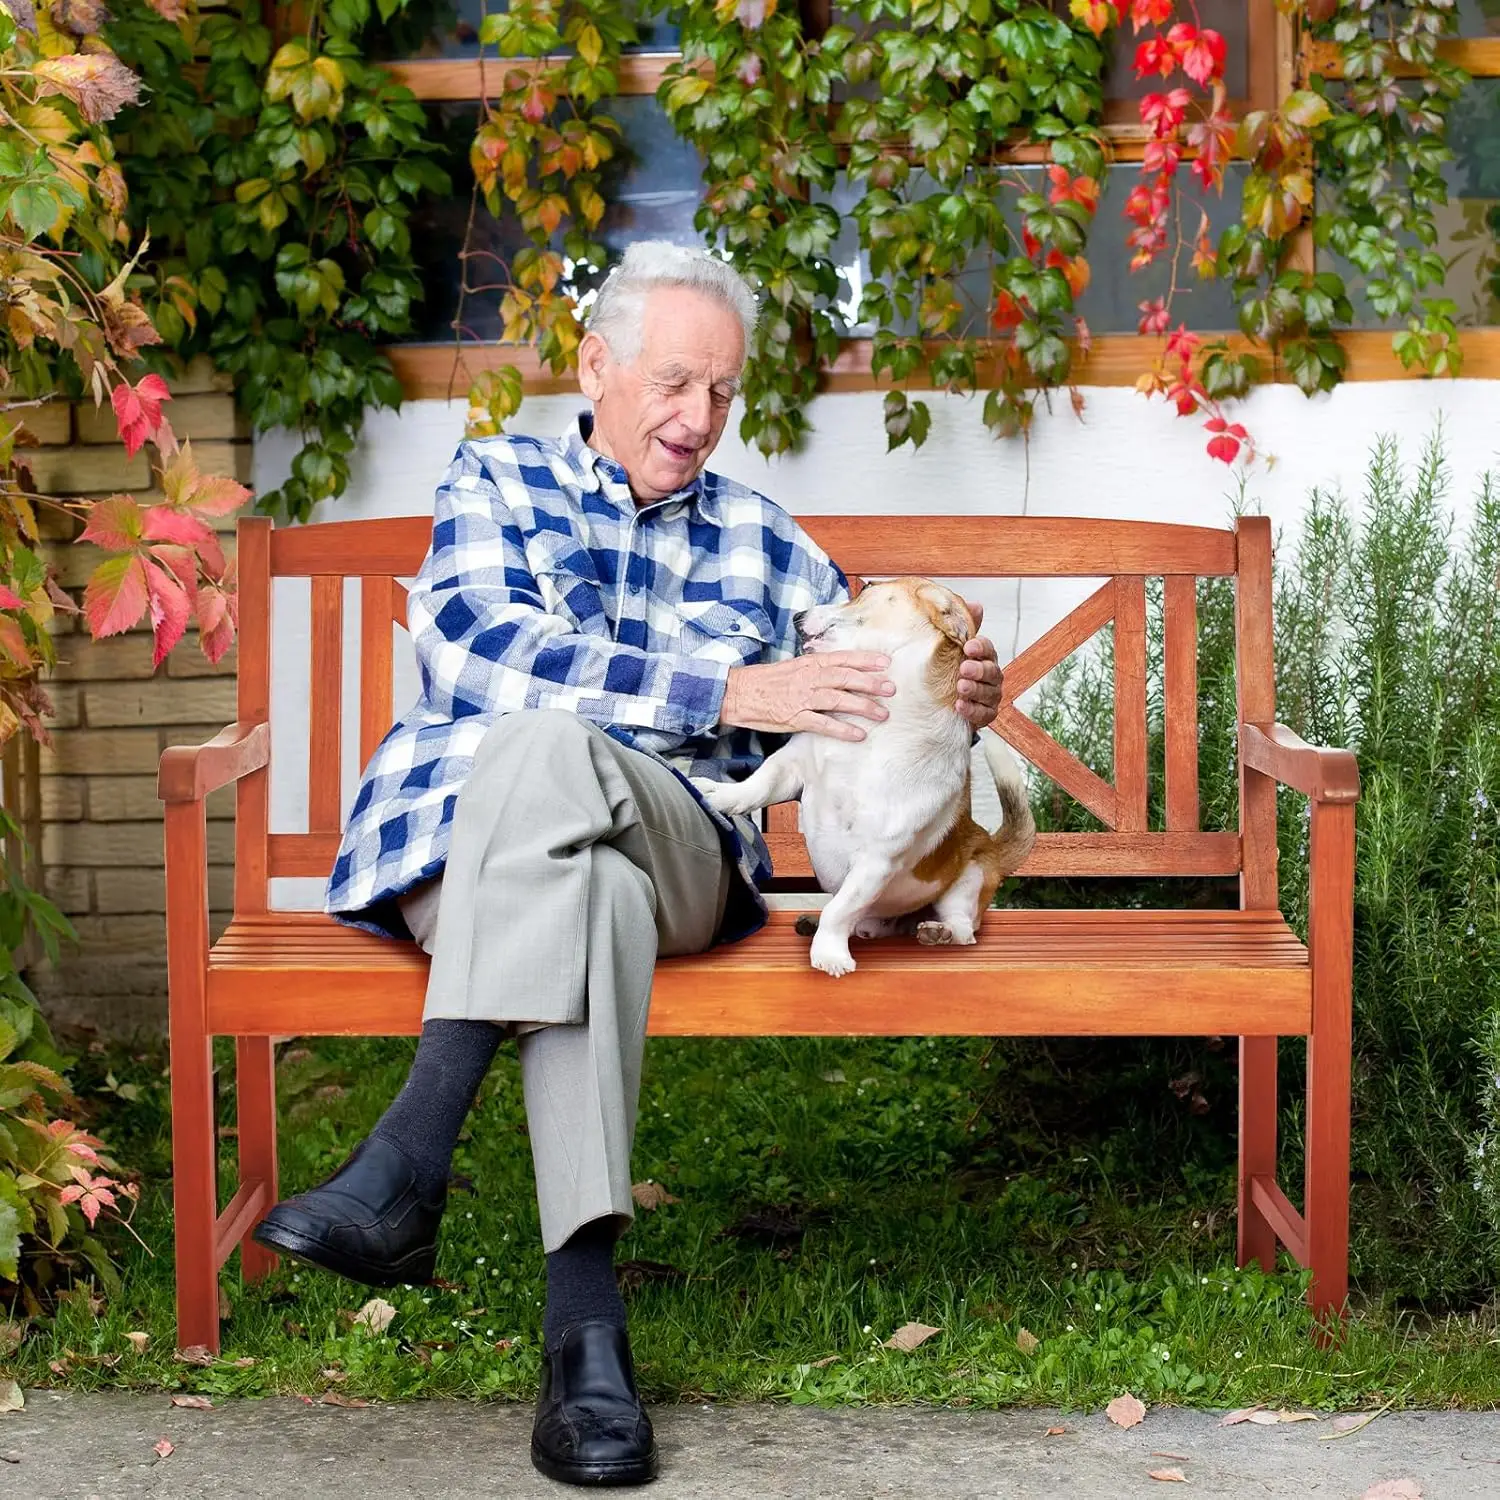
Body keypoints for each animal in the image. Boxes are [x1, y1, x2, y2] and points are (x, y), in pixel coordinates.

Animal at [693, 570, 1032, 972]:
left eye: (867, 588)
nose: (797, 616)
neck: (872, 727)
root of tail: (993, 846)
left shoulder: (874, 863)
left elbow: (840, 909)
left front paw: (830, 953)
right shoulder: (792, 767)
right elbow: (756, 786)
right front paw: (720, 796)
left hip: (968, 882)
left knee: (964, 928)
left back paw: (939, 932)